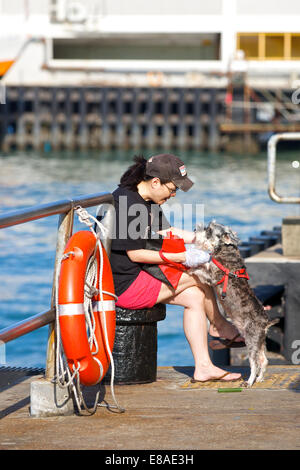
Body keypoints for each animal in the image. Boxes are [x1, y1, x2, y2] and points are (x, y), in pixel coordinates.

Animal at [191, 220, 278, 386]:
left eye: (209, 230)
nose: (194, 230)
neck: (225, 249)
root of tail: (265, 323)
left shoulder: (211, 275)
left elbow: (199, 268)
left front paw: (186, 267)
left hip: (251, 341)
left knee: (254, 363)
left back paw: (249, 381)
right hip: (259, 342)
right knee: (263, 360)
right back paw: (260, 379)